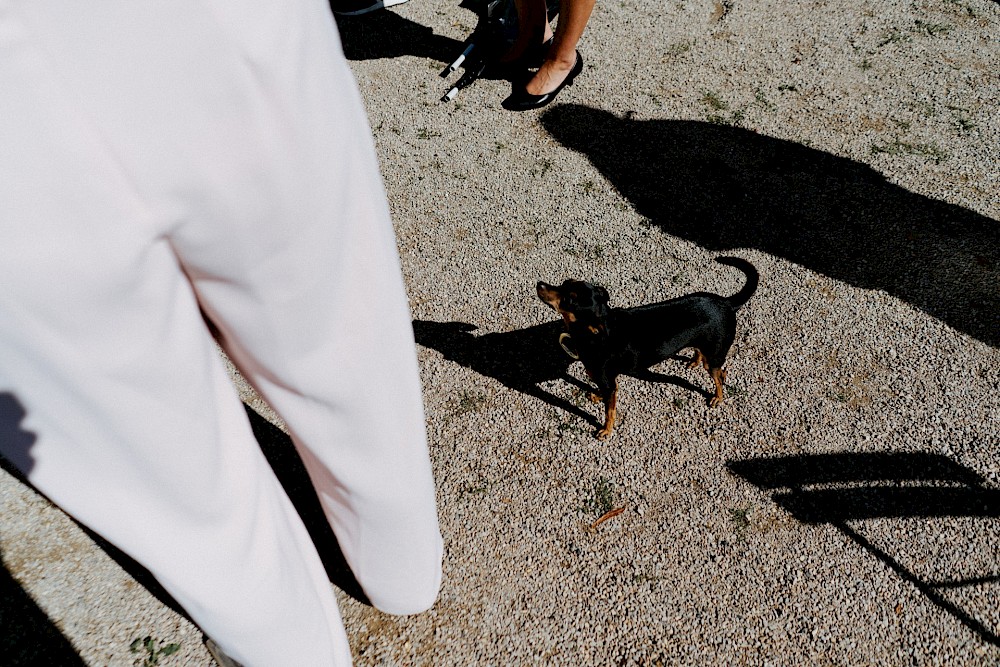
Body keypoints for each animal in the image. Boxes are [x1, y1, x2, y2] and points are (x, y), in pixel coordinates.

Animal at [540, 258, 756, 440]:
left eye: (569, 300)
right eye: (566, 282)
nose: (539, 284)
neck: (594, 334)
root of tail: (726, 302)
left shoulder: (608, 381)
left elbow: (609, 411)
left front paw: (606, 430)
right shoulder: (607, 380)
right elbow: (605, 393)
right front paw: (597, 396)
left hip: (714, 356)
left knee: (720, 376)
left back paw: (717, 397)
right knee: (707, 359)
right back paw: (695, 361)